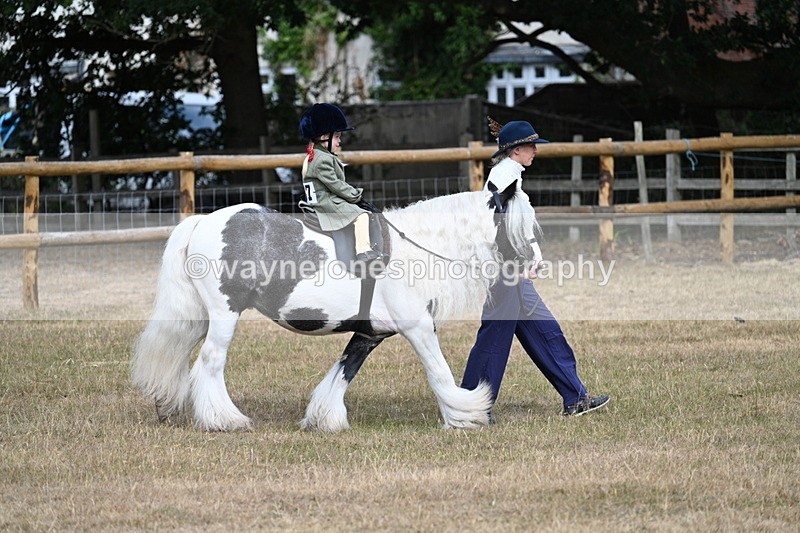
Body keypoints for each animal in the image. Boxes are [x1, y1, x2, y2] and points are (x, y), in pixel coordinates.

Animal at [131, 181, 540, 432]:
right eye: (519, 222)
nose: (535, 264)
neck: (414, 248)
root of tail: (203, 221)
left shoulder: (370, 334)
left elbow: (344, 371)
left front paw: (323, 418)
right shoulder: (419, 328)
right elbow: (438, 373)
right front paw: (465, 414)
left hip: (199, 317)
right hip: (223, 315)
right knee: (210, 362)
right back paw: (224, 419)